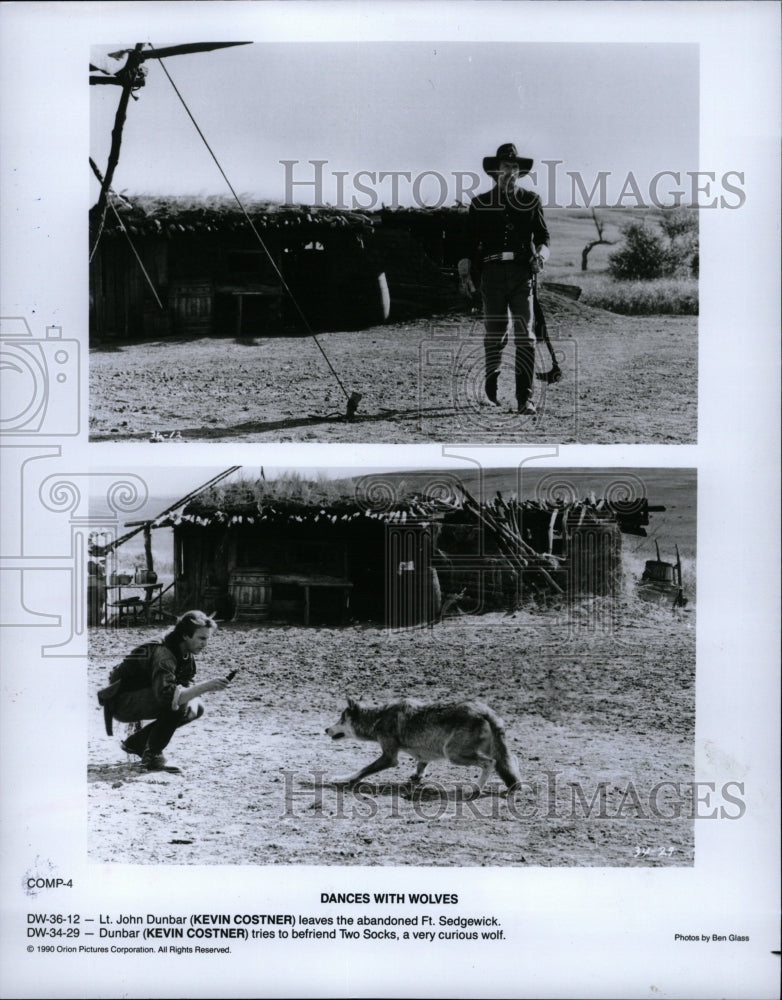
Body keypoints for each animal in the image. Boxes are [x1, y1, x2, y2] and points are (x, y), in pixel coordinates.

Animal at [324, 700, 520, 792]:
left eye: (340, 720)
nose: (326, 729)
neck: (379, 717)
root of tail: (486, 710)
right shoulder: (425, 754)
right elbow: (420, 765)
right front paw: (417, 777)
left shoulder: (389, 758)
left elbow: (361, 771)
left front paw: (341, 779)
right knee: (509, 762)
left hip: (453, 754)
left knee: (490, 763)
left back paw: (476, 789)